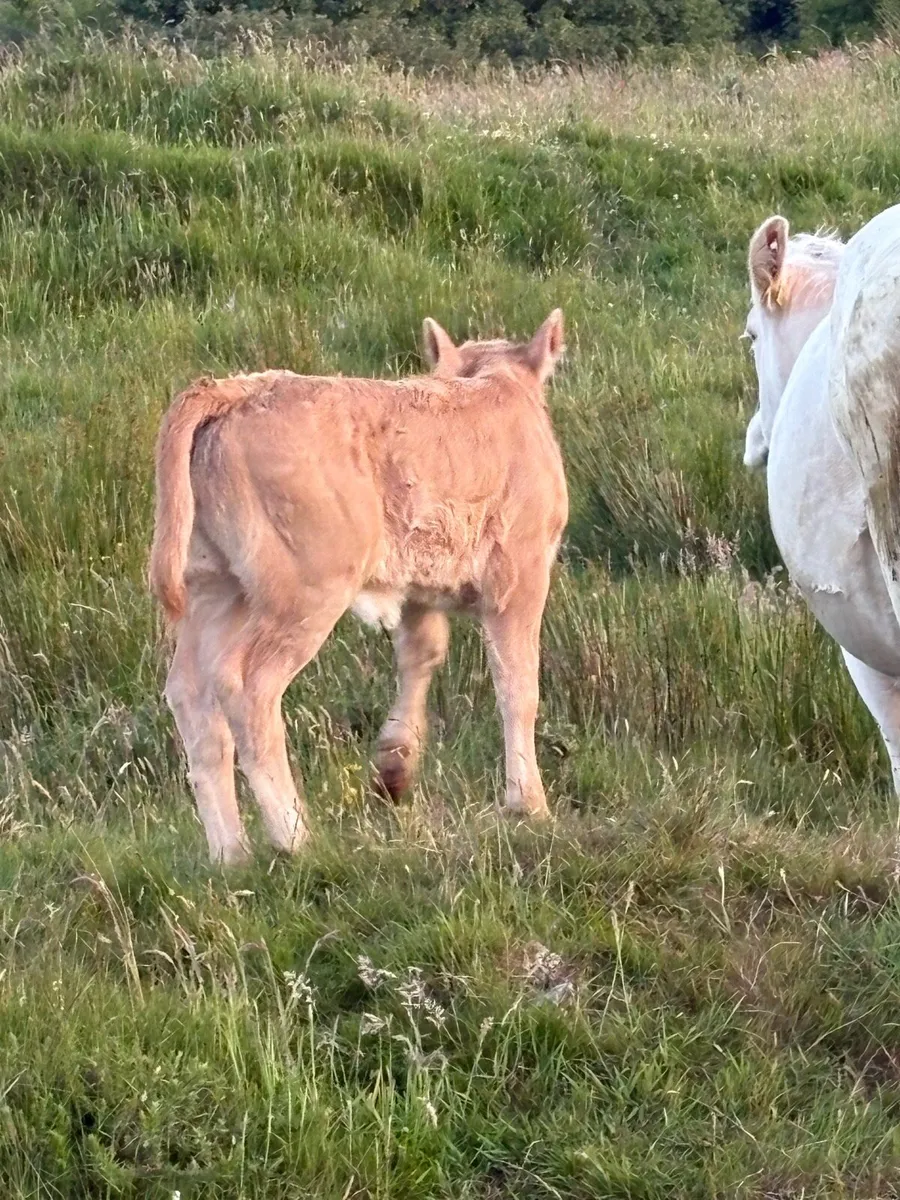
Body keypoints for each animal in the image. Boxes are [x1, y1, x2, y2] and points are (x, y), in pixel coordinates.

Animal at [149, 311, 568, 863]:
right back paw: (296, 838)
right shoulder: (520, 576)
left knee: (192, 694)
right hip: (306, 591)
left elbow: (422, 653)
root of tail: (234, 388)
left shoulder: (417, 587)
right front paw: (530, 804)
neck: (493, 382)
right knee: (248, 685)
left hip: (216, 585)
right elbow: (518, 686)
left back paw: (231, 856)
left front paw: (394, 766)